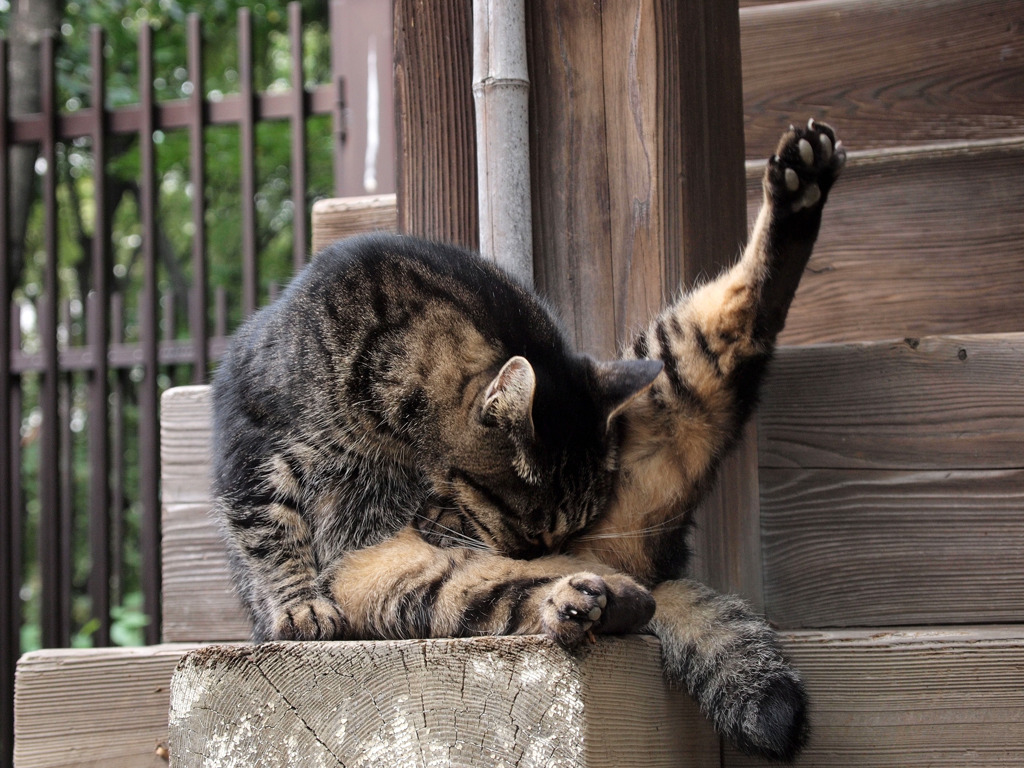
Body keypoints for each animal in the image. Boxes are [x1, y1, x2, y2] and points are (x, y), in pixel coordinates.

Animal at [211, 121, 843, 765]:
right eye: (531, 530)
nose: (551, 550)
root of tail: (636, 568)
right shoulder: (257, 447)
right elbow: (269, 530)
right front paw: (297, 605)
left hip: (672, 376)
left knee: (737, 320)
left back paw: (802, 187)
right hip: (417, 586)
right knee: (531, 597)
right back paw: (592, 601)